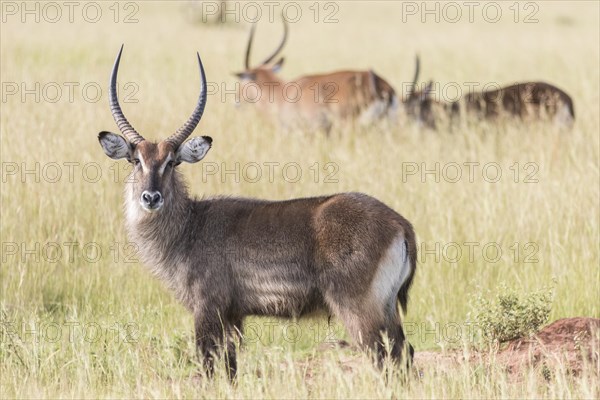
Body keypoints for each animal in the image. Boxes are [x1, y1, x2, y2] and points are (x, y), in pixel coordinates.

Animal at [98, 45, 418, 380]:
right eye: (135, 160)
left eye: (171, 162)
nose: (151, 197)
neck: (189, 227)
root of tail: (399, 222)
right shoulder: (233, 315)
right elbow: (230, 368)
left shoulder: (207, 308)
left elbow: (208, 365)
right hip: (387, 308)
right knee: (405, 353)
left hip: (359, 309)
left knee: (384, 358)